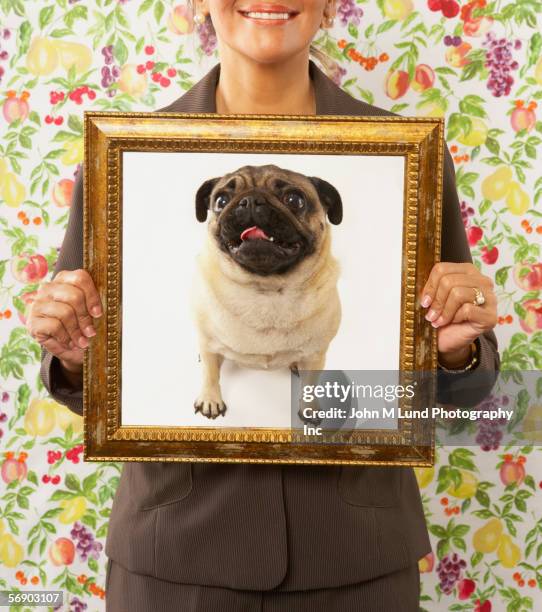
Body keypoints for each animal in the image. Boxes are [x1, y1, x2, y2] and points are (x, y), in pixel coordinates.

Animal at [191, 163, 344, 420]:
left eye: (294, 199)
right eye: (221, 200)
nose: (251, 201)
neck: (267, 289)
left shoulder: (316, 354)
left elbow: (310, 384)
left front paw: (309, 408)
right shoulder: (210, 343)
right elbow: (210, 373)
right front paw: (210, 400)